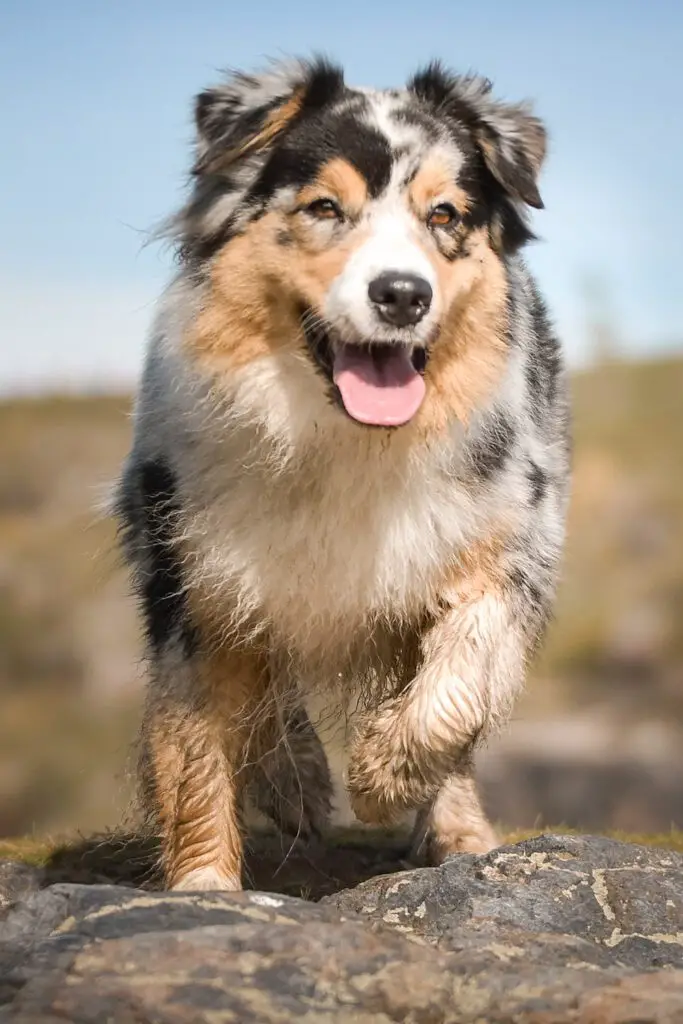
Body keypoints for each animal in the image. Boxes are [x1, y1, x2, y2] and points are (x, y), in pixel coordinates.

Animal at [116, 56, 573, 888]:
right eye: (324, 207)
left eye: (445, 216)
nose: (401, 294)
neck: (343, 439)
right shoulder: (187, 570)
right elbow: (195, 748)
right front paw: (205, 886)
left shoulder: (508, 541)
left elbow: (459, 684)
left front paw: (386, 776)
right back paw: (293, 779)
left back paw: (457, 831)